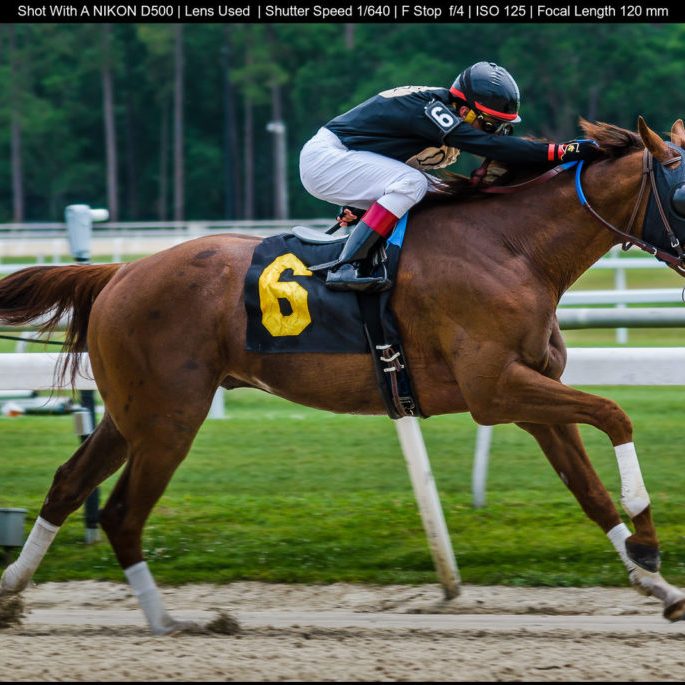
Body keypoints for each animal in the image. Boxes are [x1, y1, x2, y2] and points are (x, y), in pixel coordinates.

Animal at [1, 117, 685, 635]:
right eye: (681, 193)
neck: (512, 247)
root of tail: (119, 273)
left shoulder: (530, 396)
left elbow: (590, 491)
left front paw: (656, 584)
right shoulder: (496, 390)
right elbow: (615, 415)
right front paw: (650, 546)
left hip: (132, 415)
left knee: (68, 486)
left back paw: (12, 592)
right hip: (168, 420)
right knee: (121, 513)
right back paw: (167, 622)